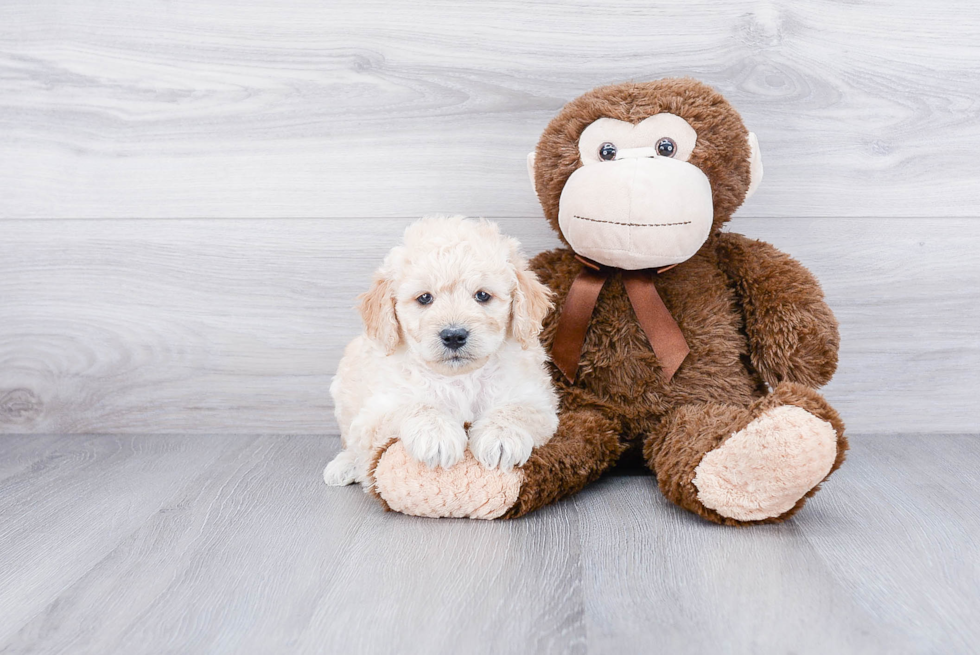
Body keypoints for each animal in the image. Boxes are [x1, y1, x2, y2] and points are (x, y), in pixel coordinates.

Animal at [326, 215, 560, 486]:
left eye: (482, 295)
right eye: (425, 298)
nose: (454, 336)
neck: (460, 378)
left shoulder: (538, 400)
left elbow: (517, 409)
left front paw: (500, 438)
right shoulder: (376, 410)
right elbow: (413, 406)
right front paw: (436, 436)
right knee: (352, 444)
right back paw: (344, 465)